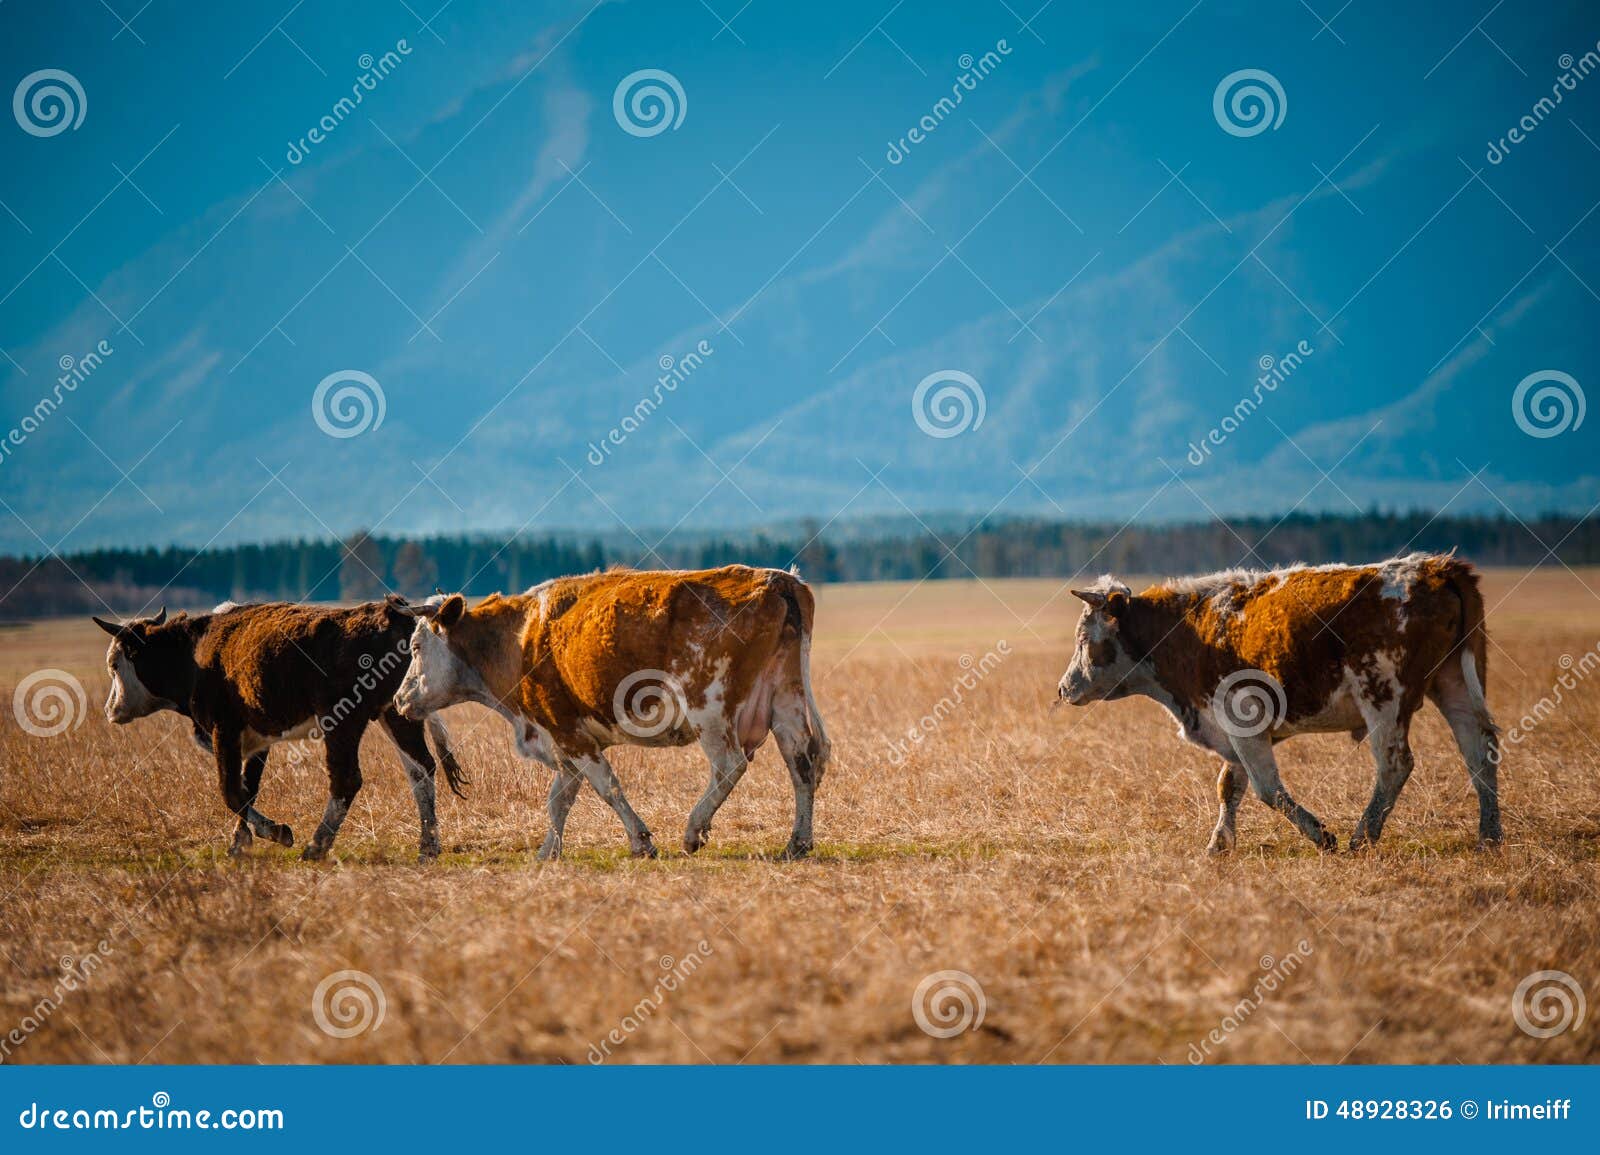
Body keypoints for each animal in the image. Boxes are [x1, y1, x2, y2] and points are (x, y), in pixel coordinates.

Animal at [92, 598, 467, 857]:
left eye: (114, 664)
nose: (111, 710)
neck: (195, 654)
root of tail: (393, 614)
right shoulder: (257, 740)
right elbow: (248, 788)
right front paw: (240, 842)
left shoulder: (224, 730)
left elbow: (231, 791)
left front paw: (276, 832)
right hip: (397, 715)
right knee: (421, 770)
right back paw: (427, 846)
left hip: (342, 722)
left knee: (346, 779)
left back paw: (317, 845)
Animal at [393, 563, 832, 857]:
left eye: (414, 646)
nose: (399, 699)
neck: (516, 639)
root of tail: (778, 579)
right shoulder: (563, 742)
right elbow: (560, 798)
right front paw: (548, 852)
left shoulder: (568, 732)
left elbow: (607, 786)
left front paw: (641, 841)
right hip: (785, 699)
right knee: (802, 762)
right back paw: (798, 841)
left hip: (709, 709)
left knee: (729, 766)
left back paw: (694, 831)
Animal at [1062, 553, 1497, 851]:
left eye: (1083, 639)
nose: (1065, 688)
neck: (1187, 631)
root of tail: (1437, 568)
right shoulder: (1232, 734)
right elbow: (1230, 786)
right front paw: (1219, 844)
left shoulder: (1241, 723)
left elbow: (1266, 788)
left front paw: (1322, 836)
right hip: (1454, 682)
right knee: (1480, 751)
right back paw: (1489, 836)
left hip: (1383, 698)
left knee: (1395, 765)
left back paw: (1363, 836)